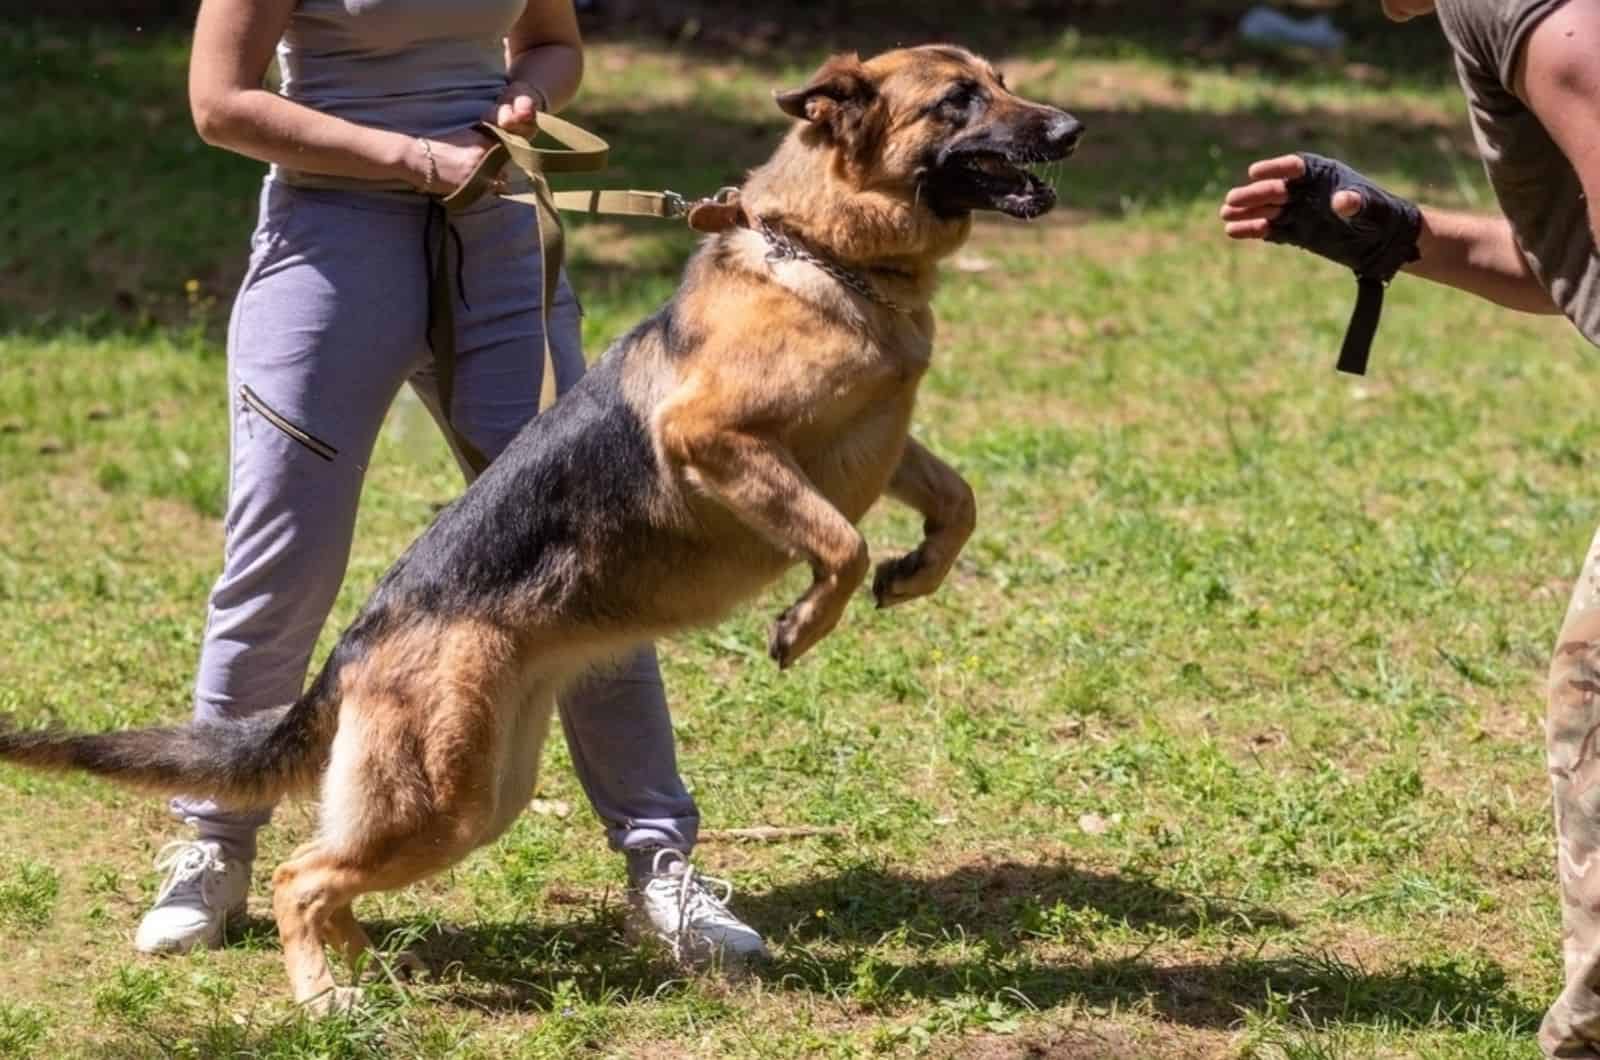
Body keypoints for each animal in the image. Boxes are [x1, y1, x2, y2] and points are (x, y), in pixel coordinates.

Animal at [0, 45, 1081, 1011]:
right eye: (957, 100)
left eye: (1001, 80)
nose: (1072, 129)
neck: (826, 253)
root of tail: (358, 643)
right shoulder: (717, 437)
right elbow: (840, 544)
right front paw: (804, 623)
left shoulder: (878, 446)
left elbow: (956, 502)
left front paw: (917, 571)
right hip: (442, 802)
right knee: (298, 875)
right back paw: (324, 997)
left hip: (488, 790)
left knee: (328, 873)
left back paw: (362, 967)